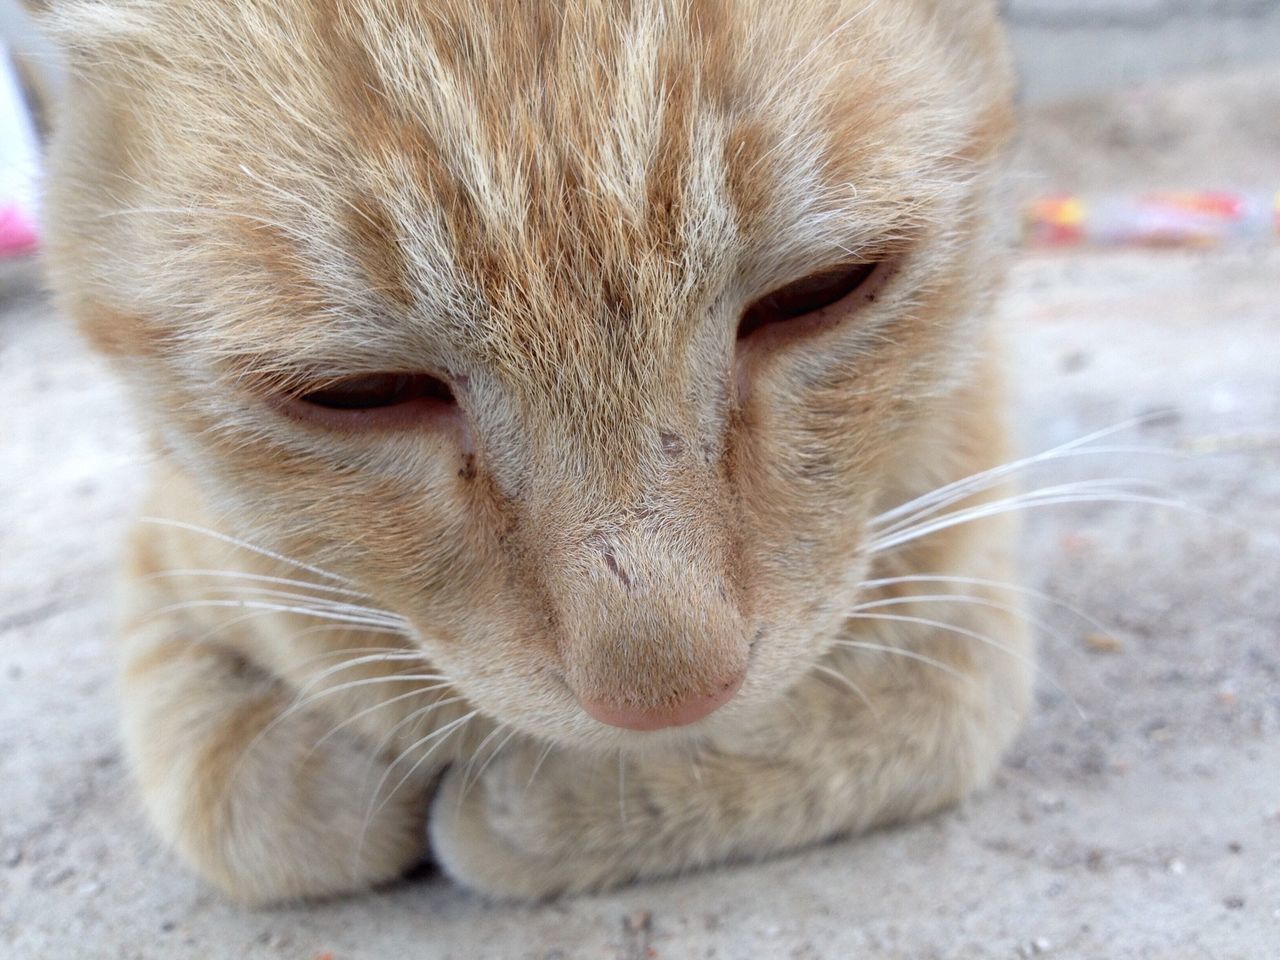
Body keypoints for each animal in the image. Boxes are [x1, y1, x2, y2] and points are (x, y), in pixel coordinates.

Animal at [32, 0, 1029, 906]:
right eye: (357, 393)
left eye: (821, 290)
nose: (666, 696)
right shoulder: (168, 559)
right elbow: (272, 815)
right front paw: (376, 769)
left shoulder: (971, 603)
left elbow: (872, 729)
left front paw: (523, 806)